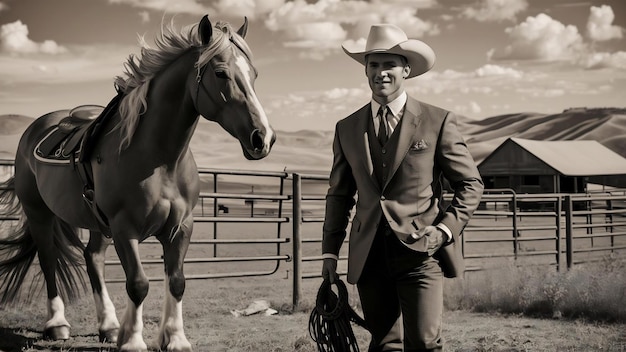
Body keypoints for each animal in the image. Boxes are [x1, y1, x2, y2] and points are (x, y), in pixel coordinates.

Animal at [0, 14, 274, 352]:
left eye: (254, 74)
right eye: (221, 72)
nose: (263, 138)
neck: (158, 159)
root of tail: (36, 128)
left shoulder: (181, 226)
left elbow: (177, 281)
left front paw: (175, 338)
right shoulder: (124, 227)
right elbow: (138, 284)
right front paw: (132, 340)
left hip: (96, 223)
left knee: (93, 259)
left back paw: (109, 325)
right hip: (39, 213)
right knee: (49, 259)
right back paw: (58, 323)